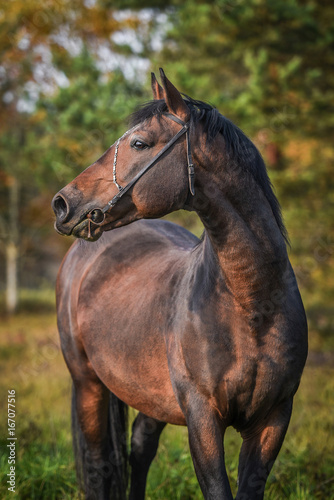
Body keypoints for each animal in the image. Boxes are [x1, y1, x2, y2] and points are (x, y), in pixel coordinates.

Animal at [51, 67, 308, 500]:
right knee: (100, 466)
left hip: (148, 394)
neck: (252, 305)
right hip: (88, 384)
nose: (63, 203)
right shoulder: (203, 418)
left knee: (139, 451)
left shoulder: (274, 419)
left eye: (139, 143)